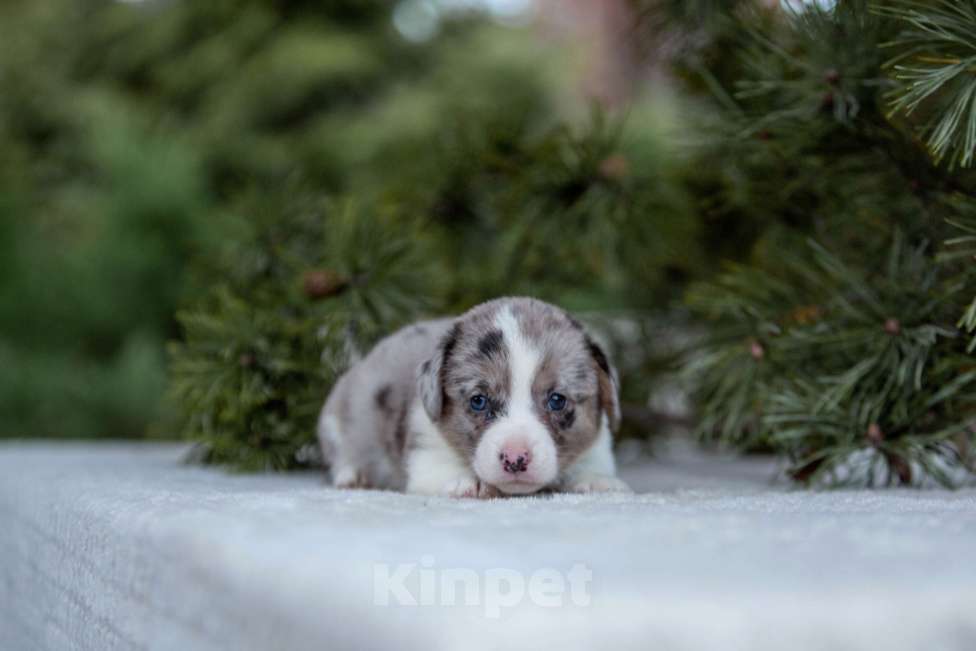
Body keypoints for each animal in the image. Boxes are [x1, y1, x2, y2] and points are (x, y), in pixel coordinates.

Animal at [316, 298, 628, 496]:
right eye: (479, 400)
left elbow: (589, 464)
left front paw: (596, 481)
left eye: (557, 400)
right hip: (338, 417)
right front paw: (470, 482)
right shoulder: (424, 452)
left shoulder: (598, 446)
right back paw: (355, 476)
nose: (515, 458)